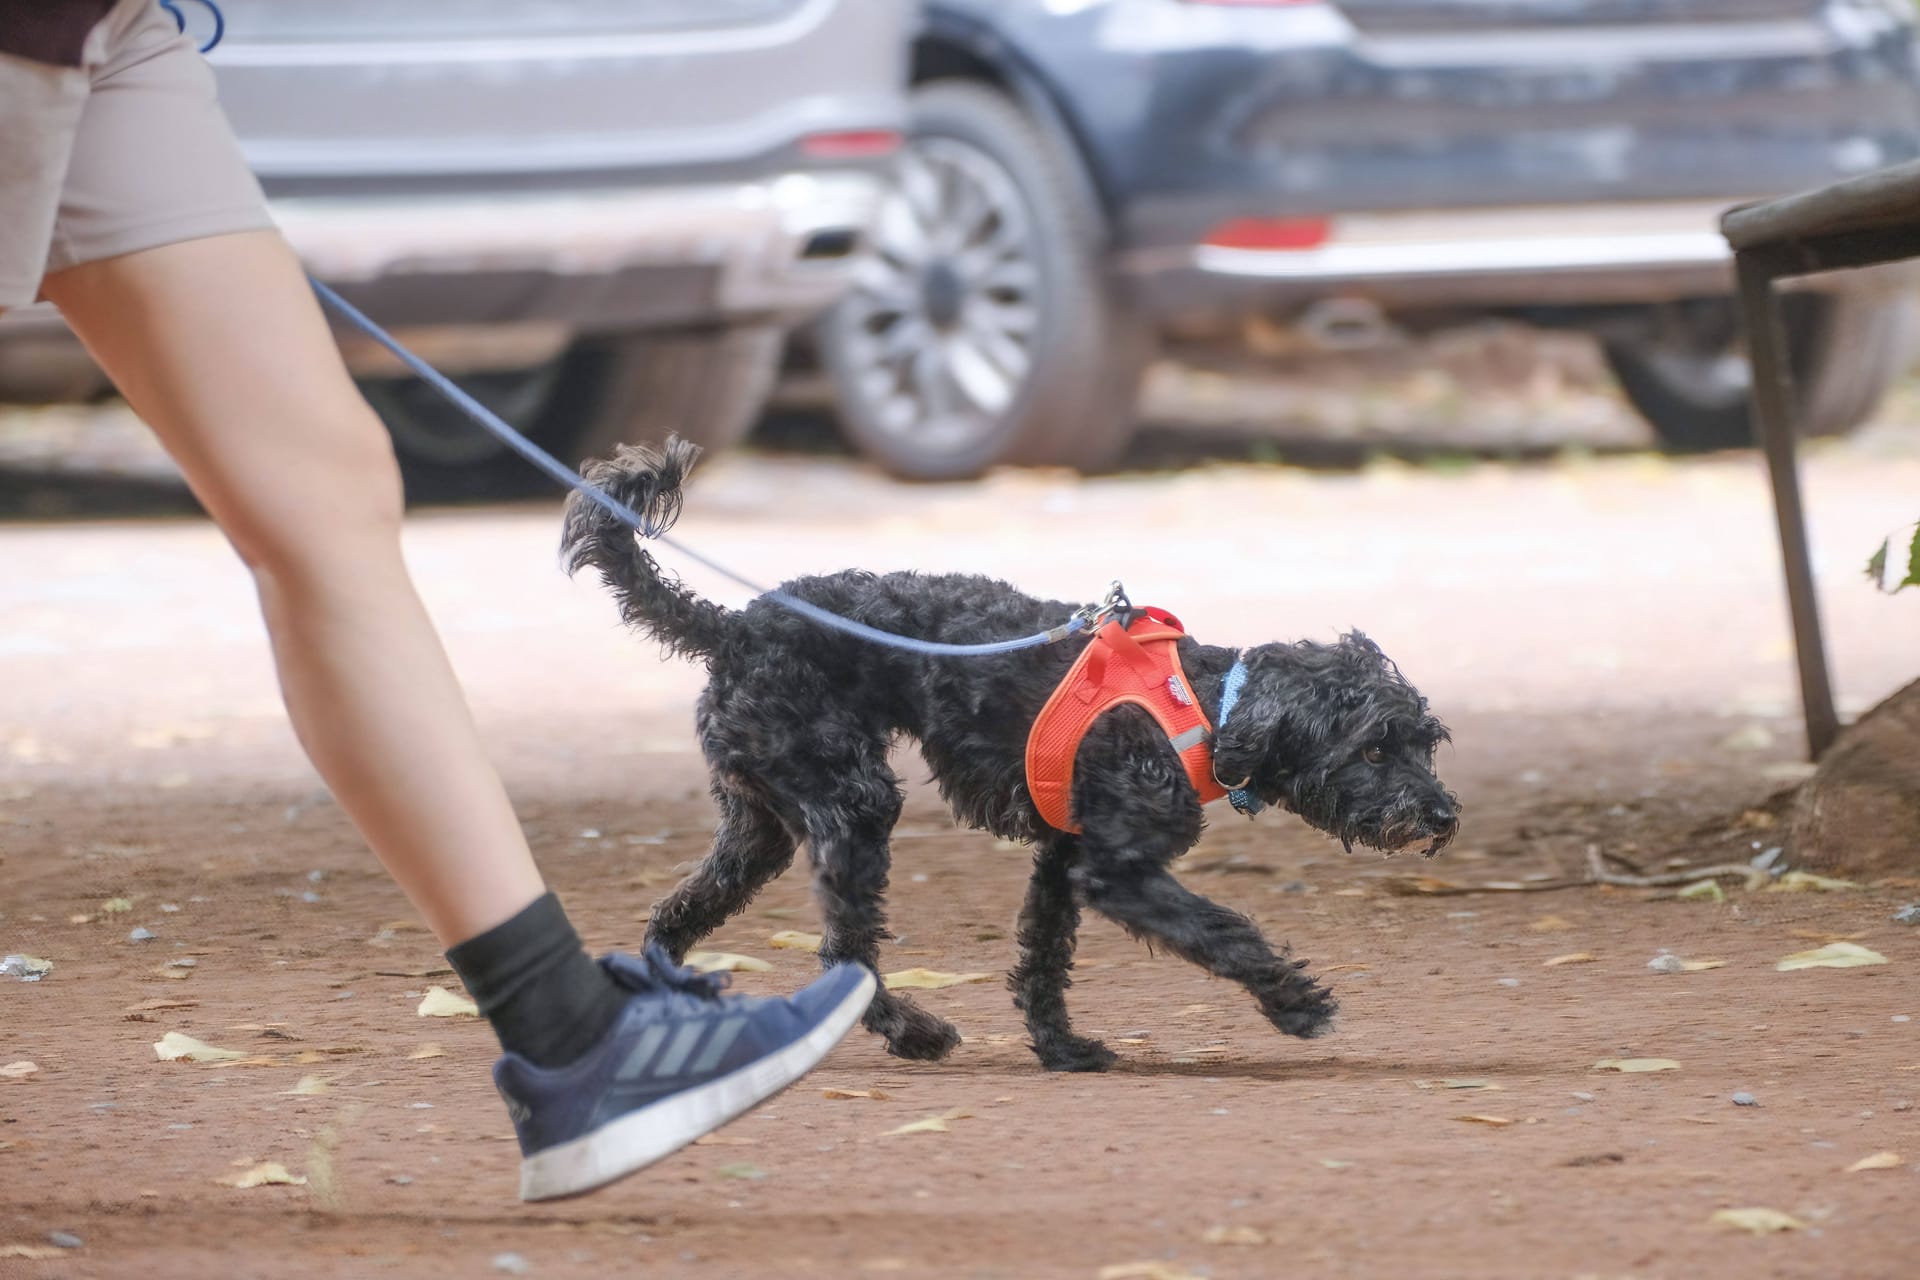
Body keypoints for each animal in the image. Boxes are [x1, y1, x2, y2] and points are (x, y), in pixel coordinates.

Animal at [560, 441, 1459, 1074]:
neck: (1205, 703)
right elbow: (1223, 928)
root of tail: (731, 628)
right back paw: (912, 1032)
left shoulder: (1063, 858)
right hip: (853, 804)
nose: (1445, 816)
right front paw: (1296, 1002)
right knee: (843, 952)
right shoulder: (1116, 869)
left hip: (759, 828)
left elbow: (1043, 960)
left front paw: (1061, 1048)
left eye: (1424, 742)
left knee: (676, 915)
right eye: (1375, 747)